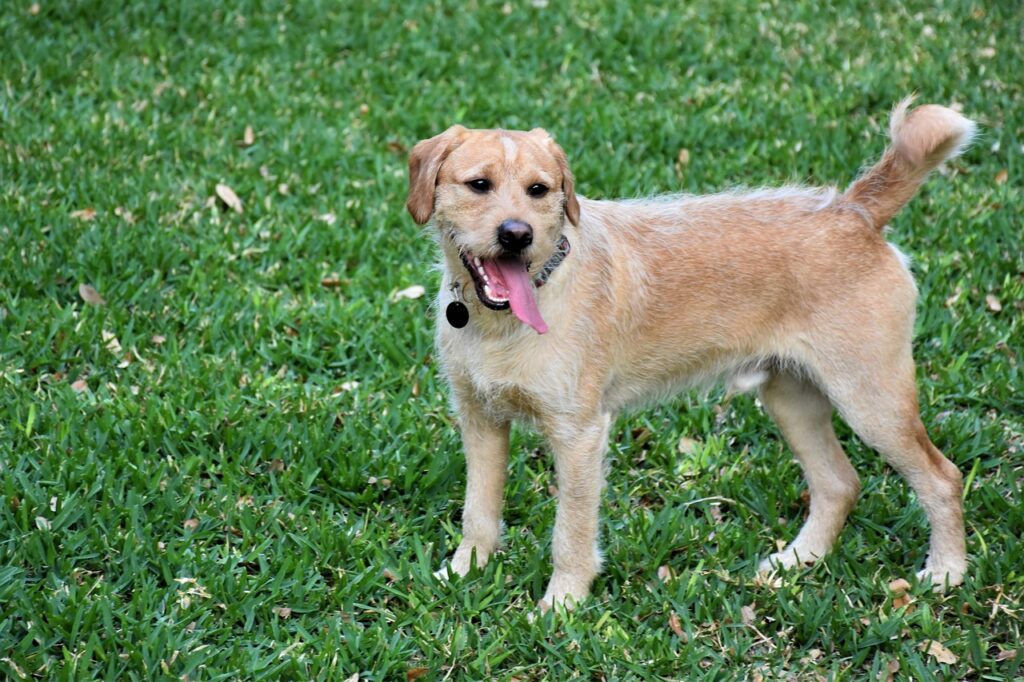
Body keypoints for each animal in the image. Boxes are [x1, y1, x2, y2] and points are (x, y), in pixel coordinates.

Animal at [407, 98, 974, 606]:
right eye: (479, 185)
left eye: (538, 190)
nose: (516, 235)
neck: (501, 323)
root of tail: (855, 210)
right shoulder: (479, 419)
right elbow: (478, 512)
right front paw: (463, 573)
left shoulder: (579, 435)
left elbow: (570, 532)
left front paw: (561, 605)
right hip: (792, 398)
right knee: (839, 484)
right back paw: (798, 561)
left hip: (872, 401)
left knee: (942, 478)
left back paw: (947, 573)